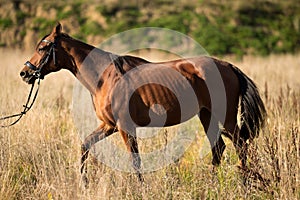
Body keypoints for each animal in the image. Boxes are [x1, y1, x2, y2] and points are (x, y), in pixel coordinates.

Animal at [19, 23, 266, 188]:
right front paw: (84, 183)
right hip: (206, 115)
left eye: (43, 48)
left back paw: (245, 181)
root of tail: (227, 66)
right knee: (219, 148)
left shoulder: (125, 127)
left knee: (240, 145)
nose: (25, 73)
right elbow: (85, 146)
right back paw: (213, 183)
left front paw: (141, 188)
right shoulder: (109, 126)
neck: (105, 76)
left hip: (226, 118)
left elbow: (135, 160)